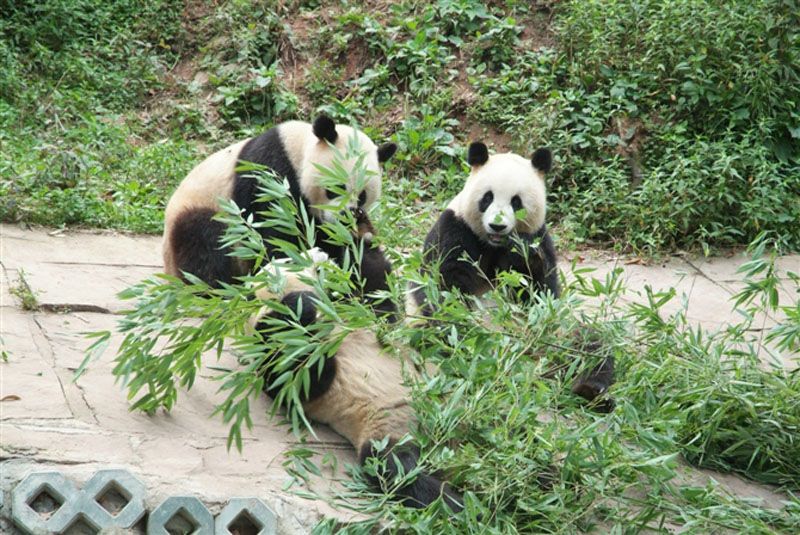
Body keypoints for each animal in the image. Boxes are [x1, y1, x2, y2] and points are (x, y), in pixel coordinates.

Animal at [163, 114, 400, 318]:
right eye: (335, 188)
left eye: (362, 196)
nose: (345, 217)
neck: (298, 152)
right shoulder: (270, 175)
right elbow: (276, 237)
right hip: (206, 210)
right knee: (206, 245)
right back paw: (220, 292)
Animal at [250, 253, 462, 512]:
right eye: (291, 260)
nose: (320, 252)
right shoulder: (268, 339)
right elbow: (295, 379)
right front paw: (302, 303)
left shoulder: (368, 318)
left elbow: (380, 301)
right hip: (391, 430)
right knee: (400, 471)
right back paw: (463, 506)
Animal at [410, 142, 616, 410]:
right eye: (487, 198)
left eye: (516, 202)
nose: (497, 226)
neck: (493, 244)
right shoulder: (454, 228)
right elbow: (444, 285)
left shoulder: (539, 237)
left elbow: (542, 293)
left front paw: (524, 256)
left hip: (558, 334)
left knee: (591, 346)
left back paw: (590, 390)